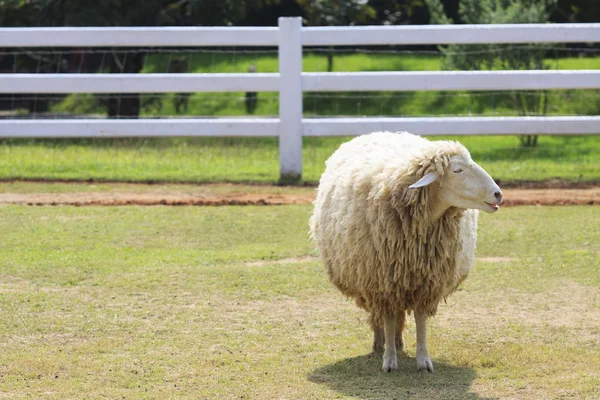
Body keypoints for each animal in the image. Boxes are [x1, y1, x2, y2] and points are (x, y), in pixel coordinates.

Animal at [310, 131, 502, 372]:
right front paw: (389, 360)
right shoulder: (382, 282)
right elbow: (388, 318)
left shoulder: (426, 282)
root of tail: (381, 132)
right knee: (381, 316)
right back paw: (380, 342)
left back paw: (398, 341)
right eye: (457, 170)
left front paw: (423, 360)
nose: (498, 194)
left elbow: (420, 320)